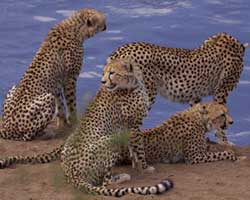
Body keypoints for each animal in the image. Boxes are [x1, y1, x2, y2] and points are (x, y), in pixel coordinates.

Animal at [0, 9, 106, 141]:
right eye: (102, 20)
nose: (106, 26)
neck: (75, 28)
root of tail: (6, 125)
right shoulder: (70, 79)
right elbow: (71, 104)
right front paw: (74, 122)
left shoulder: (58, 83)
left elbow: (60, 105)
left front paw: (63, 123)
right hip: (46, 100)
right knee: (25, 136)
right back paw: (45, 133)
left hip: (13, 88)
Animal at [0, 59, 174, 197]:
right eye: (104, 72)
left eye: (112, 73)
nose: (103, 82)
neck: (133, 84)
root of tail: (71, 174)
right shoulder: (133, 126)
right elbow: (139, 149)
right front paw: (145, 168)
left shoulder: (130, 128)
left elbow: (134, 150)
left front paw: (137, 165)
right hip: (109, 141)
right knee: (105, 183)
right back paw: (121, 177)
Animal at [102, 32, 250, 144]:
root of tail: (122, 49)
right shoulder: (221, 91)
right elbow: (220, 116)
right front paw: (224, 141)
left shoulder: (195, 95)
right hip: (146, 94)